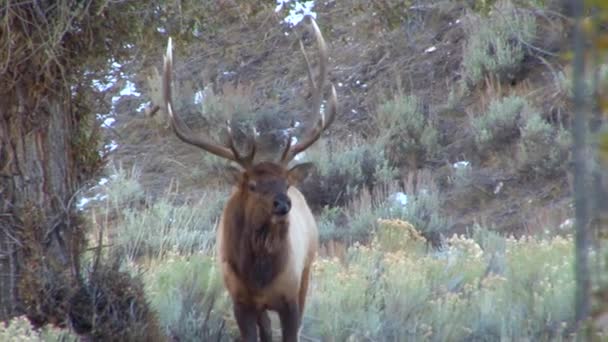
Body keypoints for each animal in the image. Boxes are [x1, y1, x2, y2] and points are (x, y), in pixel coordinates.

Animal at [162, 15, 338, 342]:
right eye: (253, 185)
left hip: (308, 268)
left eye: (286, 183)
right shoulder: (240, 300)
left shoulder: (290, 295)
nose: (283, 204)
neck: (259, 277)